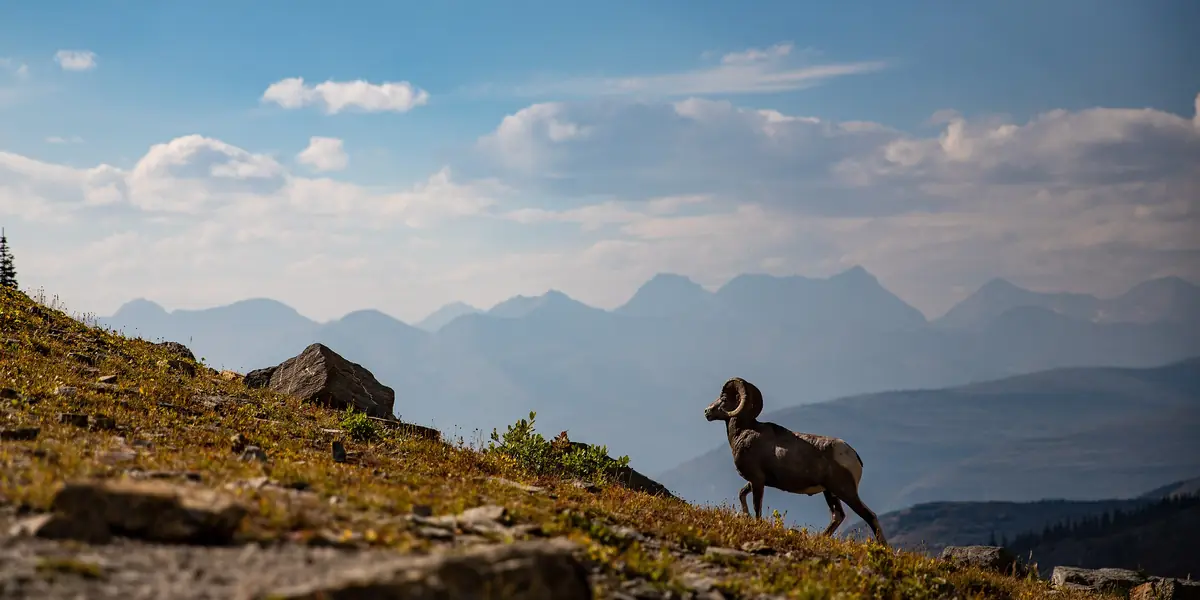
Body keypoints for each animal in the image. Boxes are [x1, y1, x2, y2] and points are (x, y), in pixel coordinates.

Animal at [703, 377, 888, 546]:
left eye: (724, 399)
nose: (706, 411)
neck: (744, 432)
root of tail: (853, 455)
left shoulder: (757, 480)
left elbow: (757, 507)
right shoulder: (755, 481)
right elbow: (742, 494)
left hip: (845, 491)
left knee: (869, 516)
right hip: (830, 492)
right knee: (838, 516)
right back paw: (819, 539)